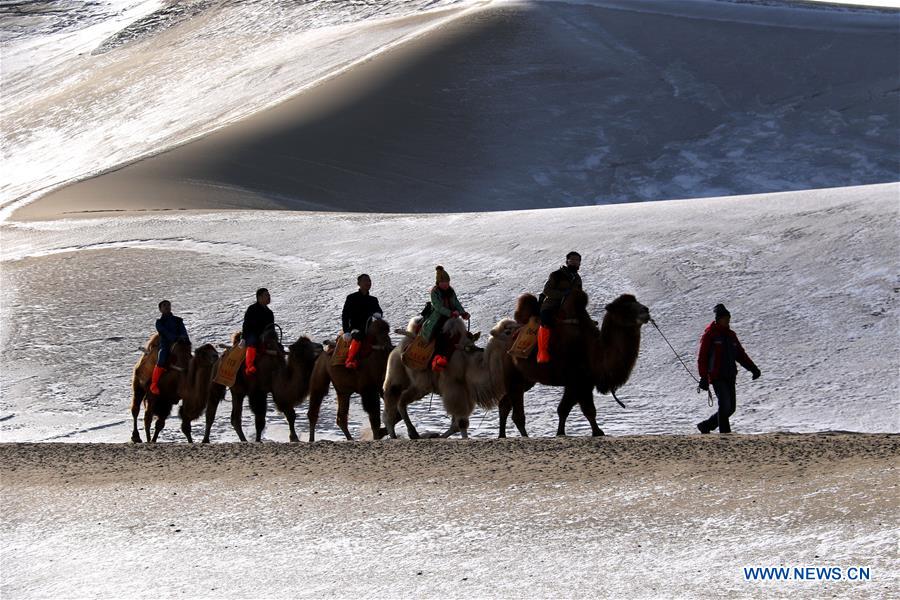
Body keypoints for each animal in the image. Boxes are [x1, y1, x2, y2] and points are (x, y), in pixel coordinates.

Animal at [384, 316, 516, 438]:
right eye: (508, 332)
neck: (471, 364)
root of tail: (399, 347)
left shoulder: (465, 393)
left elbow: (456, 425)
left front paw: (439, 437)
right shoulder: (454, 389)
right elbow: (461, 423)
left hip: (415, 383)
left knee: (400, 402)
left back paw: (413, 434)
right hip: (403, 378)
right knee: (392, 406)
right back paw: (399, 435)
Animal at [496, 290, 652, 436]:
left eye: (636, 301)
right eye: (626, 307)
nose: (646, 310)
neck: (594, 351)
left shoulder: (584, 383)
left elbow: (566, 410)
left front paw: (562, 433)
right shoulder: (577, 381)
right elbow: (584, 410)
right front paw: (595, 432)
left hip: (527, 380)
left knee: (504, 404)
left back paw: (502, 436)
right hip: (513, 375)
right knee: (516, 413)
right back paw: (523, 436)